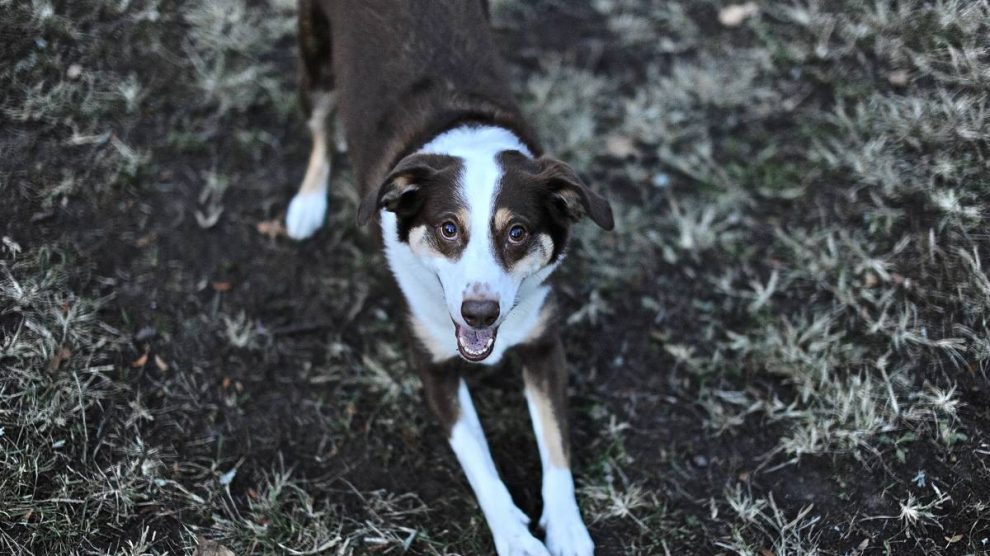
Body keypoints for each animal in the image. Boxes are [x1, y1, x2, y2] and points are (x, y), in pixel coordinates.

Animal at [282, 2, 616, 552]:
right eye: (448, 228)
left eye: (518, 232)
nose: (479, 313)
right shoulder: (433, 362)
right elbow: (478, 461)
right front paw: (516, 537)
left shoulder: (544, 344)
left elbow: (555, 444)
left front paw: (567, 527)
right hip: (315, 66)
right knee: (321, 131)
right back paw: (308, 203)